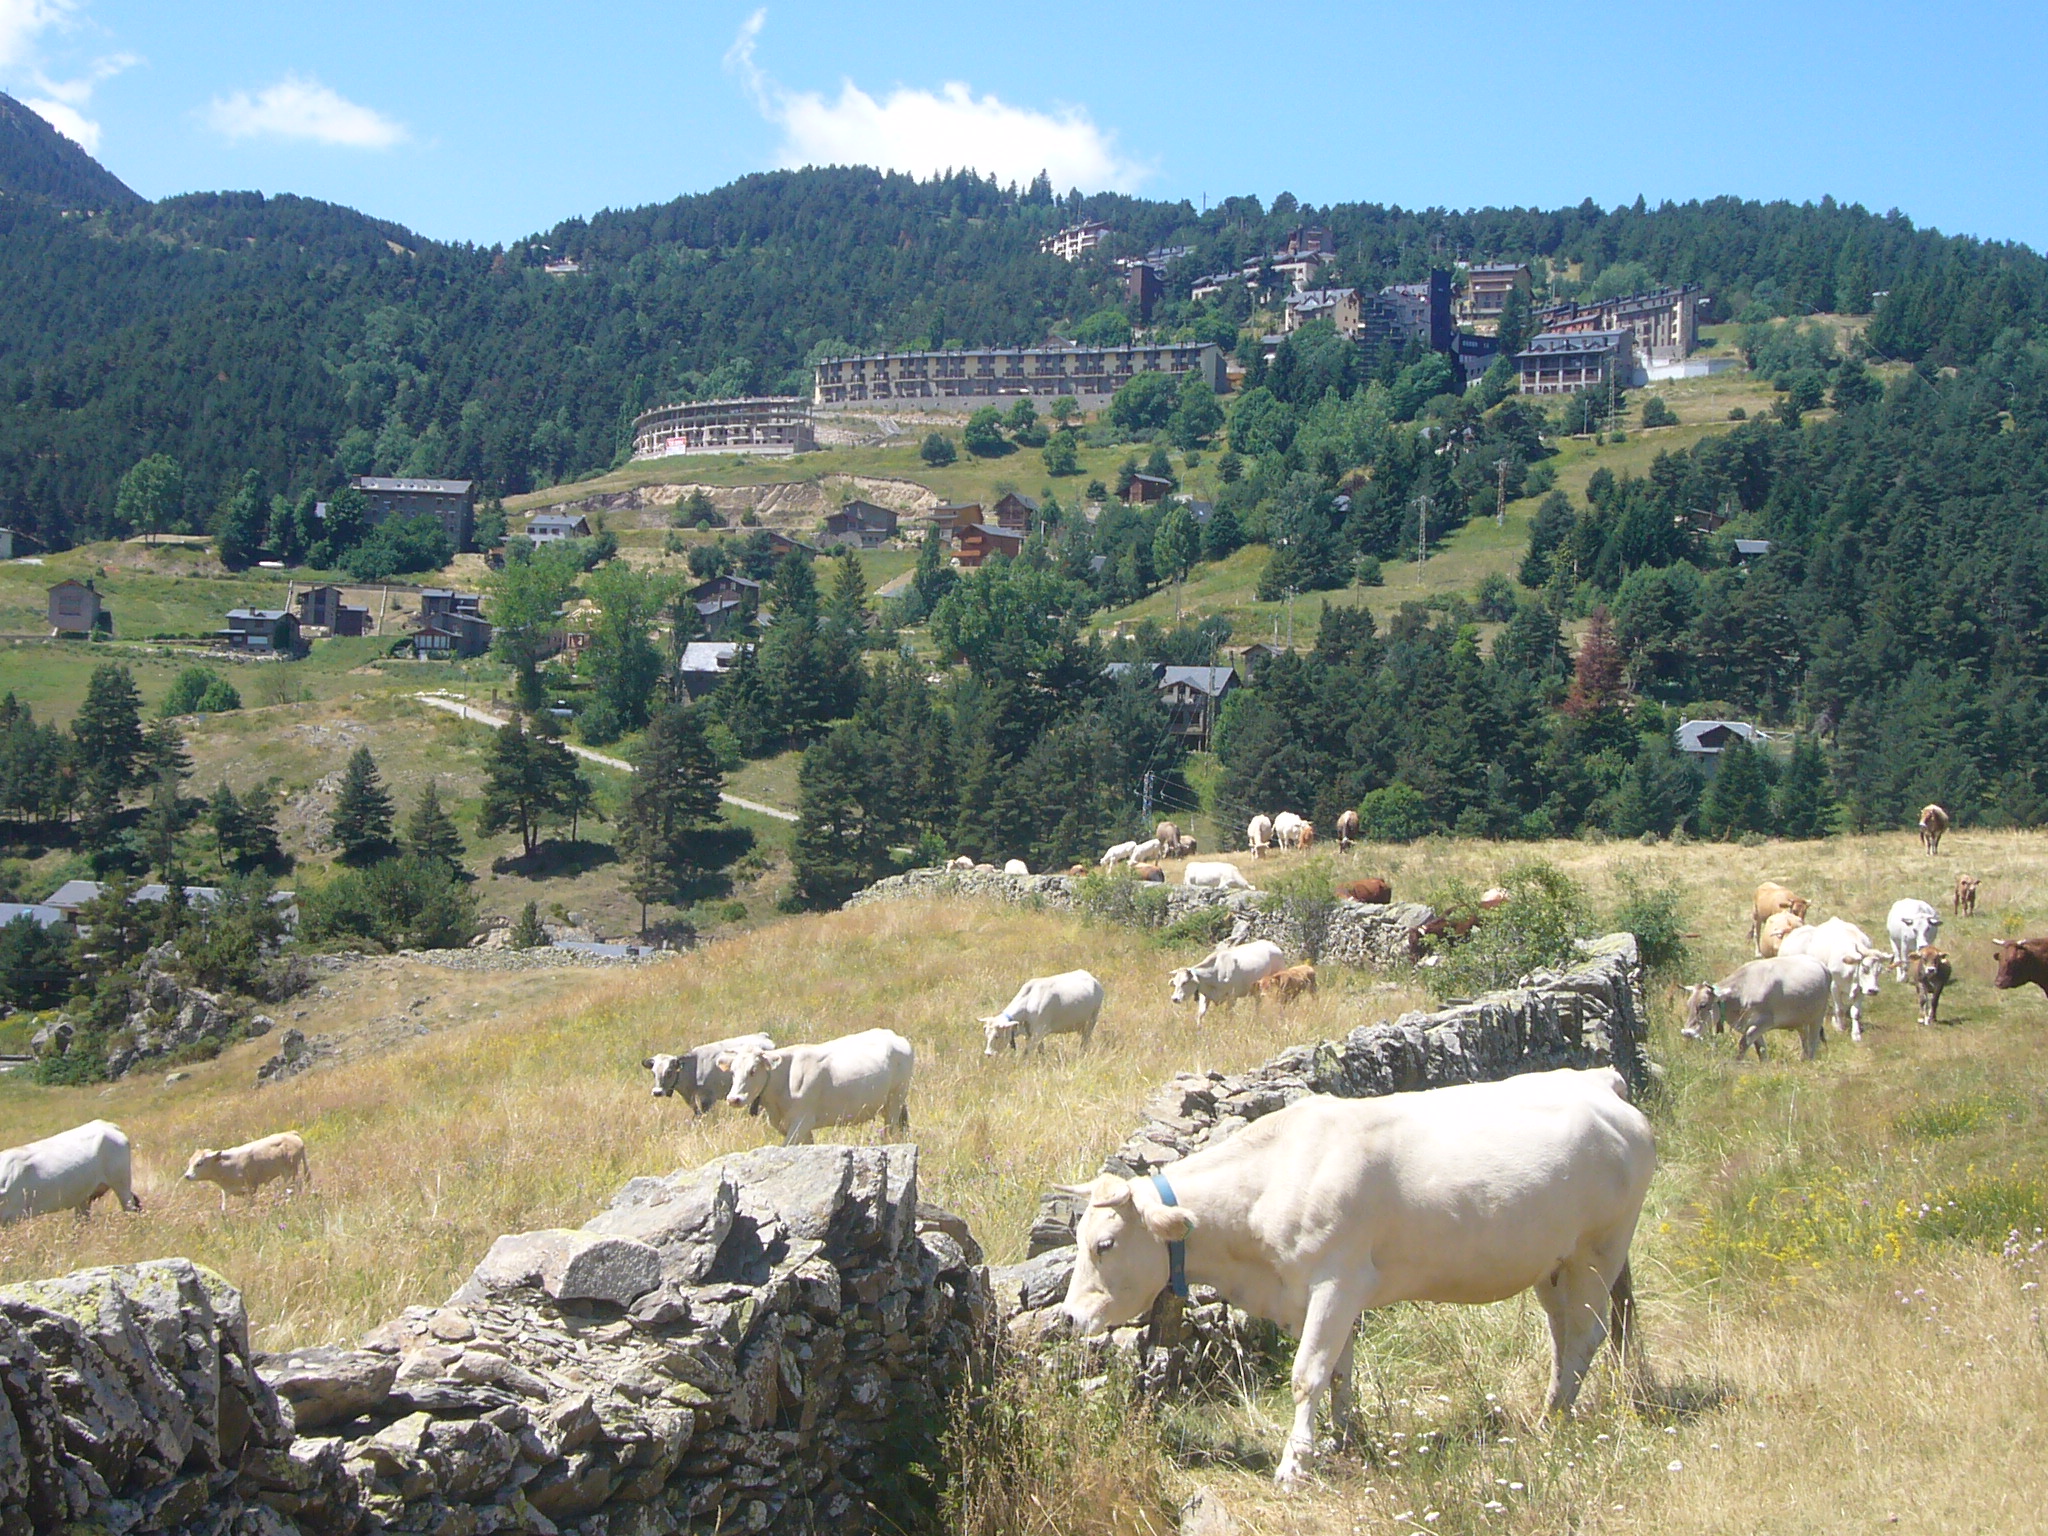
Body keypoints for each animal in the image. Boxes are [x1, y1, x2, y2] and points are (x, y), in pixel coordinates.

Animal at [720, 1028, 913, 1146]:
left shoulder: (802, 1121)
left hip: (896, 1098)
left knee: (889, 1132)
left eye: (753, 1070)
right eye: (733, 1071)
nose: (733, 1099)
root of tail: (894, 1036)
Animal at [1064, 1073, 1654, 1490]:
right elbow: (1339, 1372)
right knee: (1563, 1334)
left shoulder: (1336, 1283)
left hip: (1599, 1250)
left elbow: (1308, 1375)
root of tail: (1597, 1081)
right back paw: (1551, 1405)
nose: (1070, 1316)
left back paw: (1555, 1422)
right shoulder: (1326, 1298)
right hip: (1554, 1264)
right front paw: (1344, 1442)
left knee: (1586, 1335)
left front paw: (1293, 1465)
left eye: (1104, 1245)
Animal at [1687, 962, 1835, 1056]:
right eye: (1688, 1004)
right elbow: (1761, 1050)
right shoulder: (1750, 1026)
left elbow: (1743, 1045)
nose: (1686, 1032)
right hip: (1801, 1022)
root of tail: (1822, 965)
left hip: (1817, 1018)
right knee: (1805, 1042)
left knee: (1812, 1043)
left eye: (1703, 1005)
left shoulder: (1762, 1023)